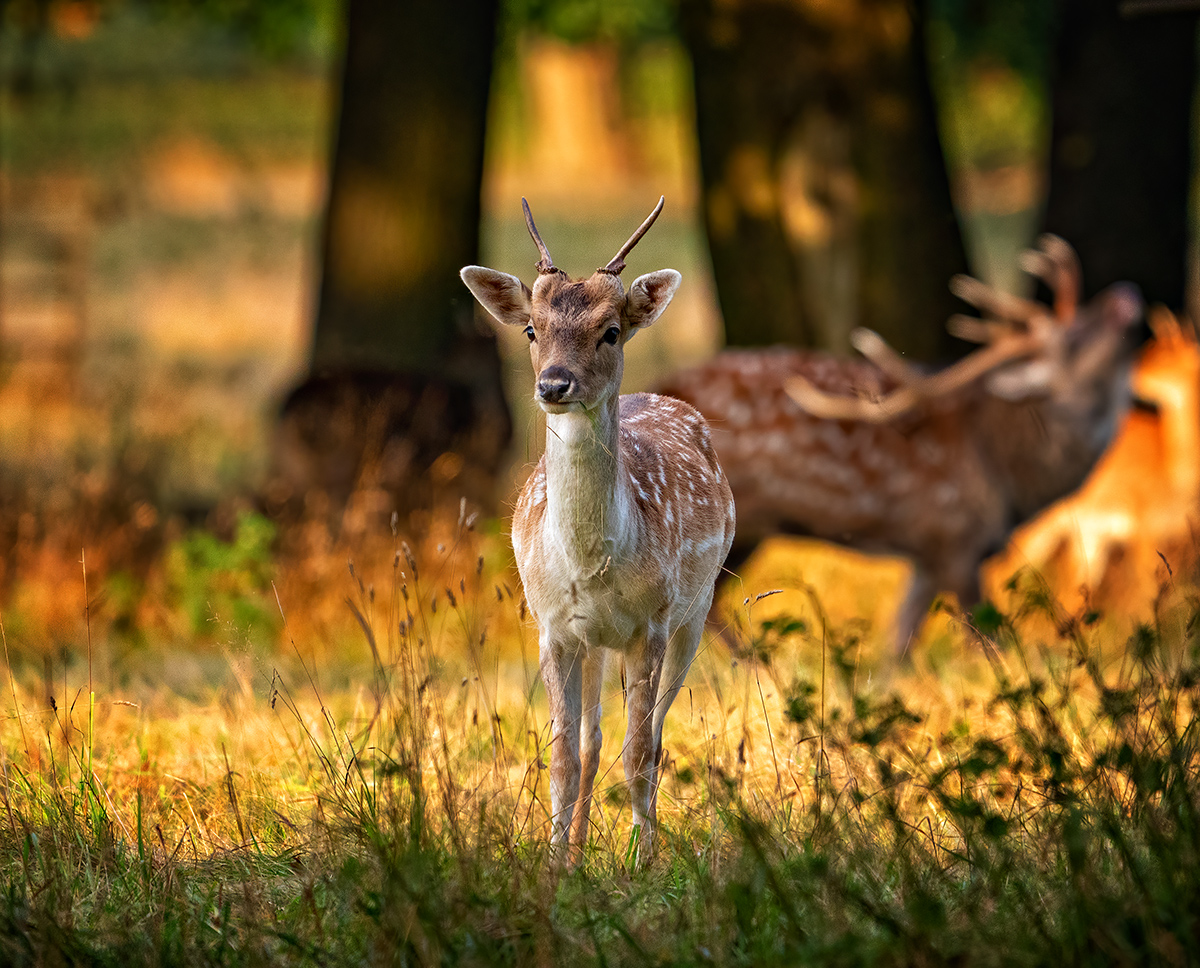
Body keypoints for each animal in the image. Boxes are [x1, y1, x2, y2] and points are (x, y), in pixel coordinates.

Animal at [460, 196, 734, 863]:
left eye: (611, 330)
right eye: (531, 329)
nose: (554, 383)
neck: (591, 561)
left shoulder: (652, 623)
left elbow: (640, 755)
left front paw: (644, 864)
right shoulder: (553, 627)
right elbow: (561, 758)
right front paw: (556, 864)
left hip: (695, 611)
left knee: (653, 738)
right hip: (593, 643)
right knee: (591, 741)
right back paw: (580, 849)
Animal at [667, 235, 1142, 657]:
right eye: (1074, 338)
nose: (1125, 294)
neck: (1011, 482)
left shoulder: (928, 555)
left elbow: (898, 647)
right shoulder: (955, 538)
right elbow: (988, 643)